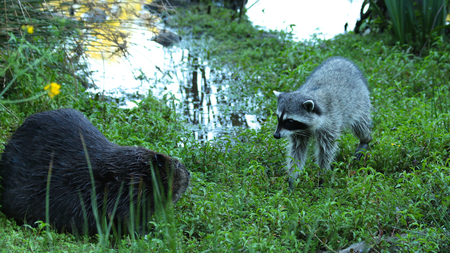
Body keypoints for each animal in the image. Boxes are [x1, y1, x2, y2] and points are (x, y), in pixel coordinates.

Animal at [274, 56, 372, 190]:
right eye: (278, 117)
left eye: (290, 121)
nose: (276, 135)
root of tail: (342, 59)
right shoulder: (298, 132)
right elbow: (297, 151)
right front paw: (293, 178)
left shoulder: (330, 124)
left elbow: (326, 152)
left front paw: (321, 175)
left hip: (359, 101)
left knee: (360, 123)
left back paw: (365, 139)